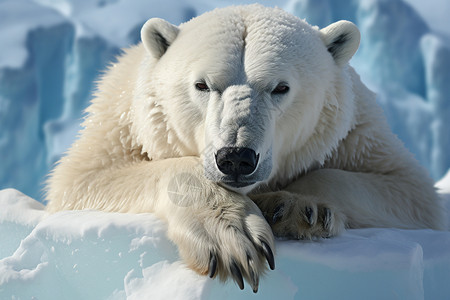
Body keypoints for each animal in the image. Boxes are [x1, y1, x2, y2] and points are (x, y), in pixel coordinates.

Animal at [44, 4, 444, 292]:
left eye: (281, 87)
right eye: (202, 85)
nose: (236, 158)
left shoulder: (359, 135)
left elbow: (411, 192)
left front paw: (297, 208)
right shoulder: (123, 127)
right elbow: (84, 180)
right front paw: (234, 240)